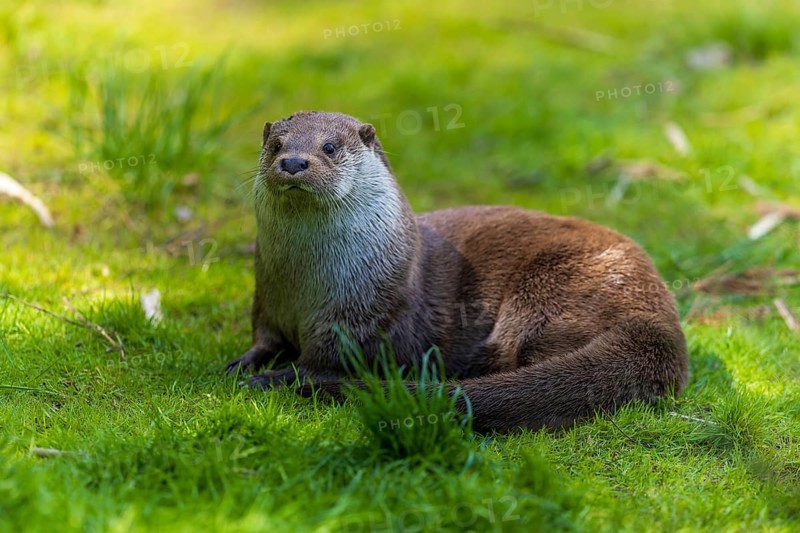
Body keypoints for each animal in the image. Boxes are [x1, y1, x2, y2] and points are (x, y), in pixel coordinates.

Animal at [226, 111, 689, 433]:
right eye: (276, 144)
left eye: (329, 147)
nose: (293, 163)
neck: (305, 287)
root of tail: (657, 315)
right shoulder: (266, 299)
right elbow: (264, 338)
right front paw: (244, 362)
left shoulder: (359, 319)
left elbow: (322, 365)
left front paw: (272, 379)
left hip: (551, 288)